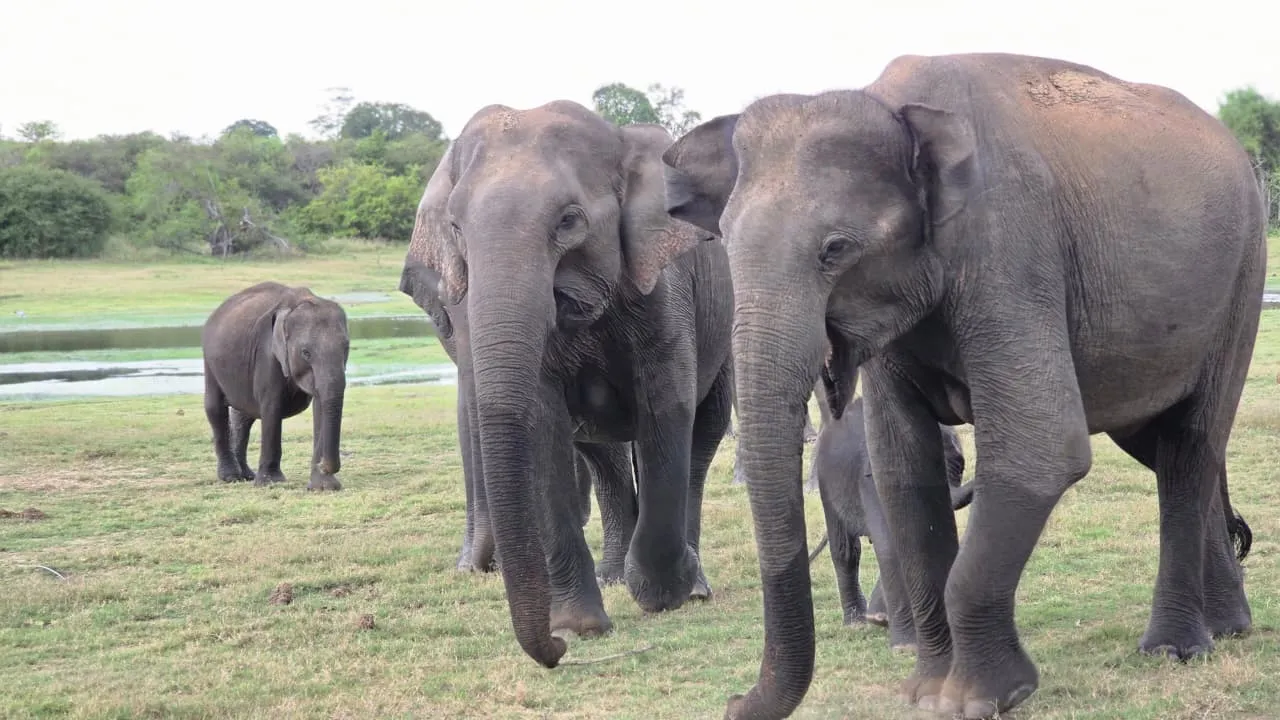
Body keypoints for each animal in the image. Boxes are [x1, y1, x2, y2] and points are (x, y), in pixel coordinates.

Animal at [201, 281, 348, 491]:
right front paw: (271, 482)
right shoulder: (267, 354)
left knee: (244, 416)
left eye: (346, 348)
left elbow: (320, 405)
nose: (325, 465)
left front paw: (322, 487)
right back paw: (231, 477)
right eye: (306, 353)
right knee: (215, 408)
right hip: (210, 360)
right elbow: (272, 407)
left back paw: (246, 475)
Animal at [399, 100, 734, 668]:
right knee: (604, 455)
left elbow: (668, 407)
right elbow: (541, 424)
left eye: (569, 221)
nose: (554, 652)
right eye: (456, 227)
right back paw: (615, 577)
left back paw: (691, 585)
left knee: (701, 436)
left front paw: (660, 594)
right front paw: (580, 627)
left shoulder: (663, 290)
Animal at [662, 52, 1264, 719]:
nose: (731, 701)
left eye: (835, 249)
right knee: (1168, 448)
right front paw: (926, 692)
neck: (890, 103)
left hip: (1242, 282)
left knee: (1190, 445)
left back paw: (1174, 649)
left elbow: (1041, 449)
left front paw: (980, 699)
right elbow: (902, 469)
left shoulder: (1009, 250)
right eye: (725, 241)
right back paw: (1228, 626)